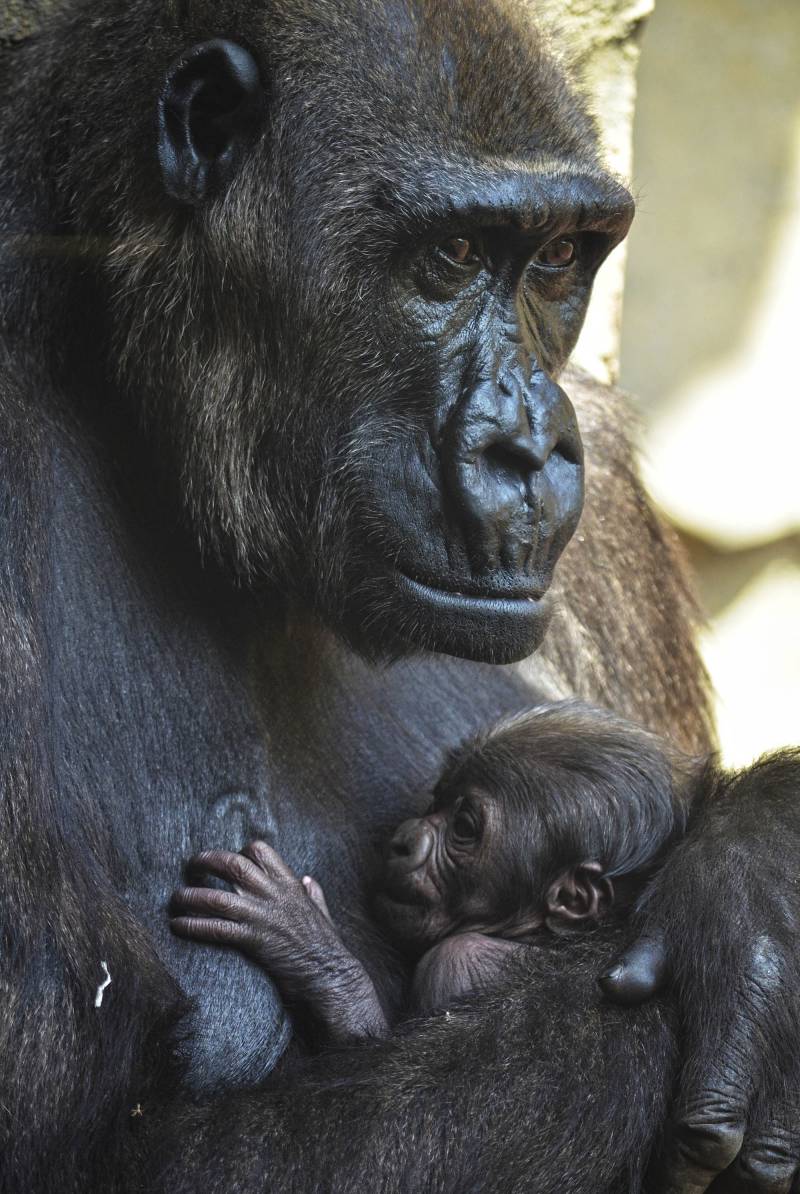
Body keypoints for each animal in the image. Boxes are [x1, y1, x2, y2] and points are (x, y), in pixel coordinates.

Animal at [171, 697, 706, 1045]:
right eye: (437, 800)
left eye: (464, 826)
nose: (403, 839)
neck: (538, 935)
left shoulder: (456, 963)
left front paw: (307, 948)